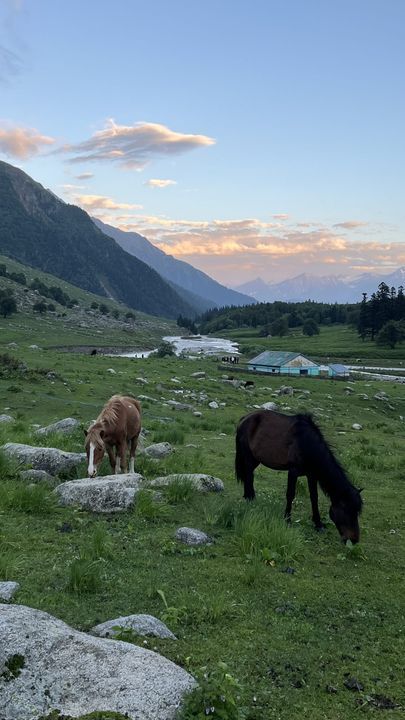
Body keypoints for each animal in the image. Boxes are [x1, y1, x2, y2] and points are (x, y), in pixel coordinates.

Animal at [235, 409, 363, 543]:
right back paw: (250, 499)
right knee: (249, 476)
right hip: (248, 457)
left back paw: (248, 497)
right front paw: (287, 519)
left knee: (249, 475)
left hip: (255, 459)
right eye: (346, 510)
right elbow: (290, 494)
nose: (354, 540)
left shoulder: (311, 475)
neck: (306, 443)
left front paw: (318, 524)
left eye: (357, 512)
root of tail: (245, 418)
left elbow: (314, 497)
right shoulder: (293, 471)